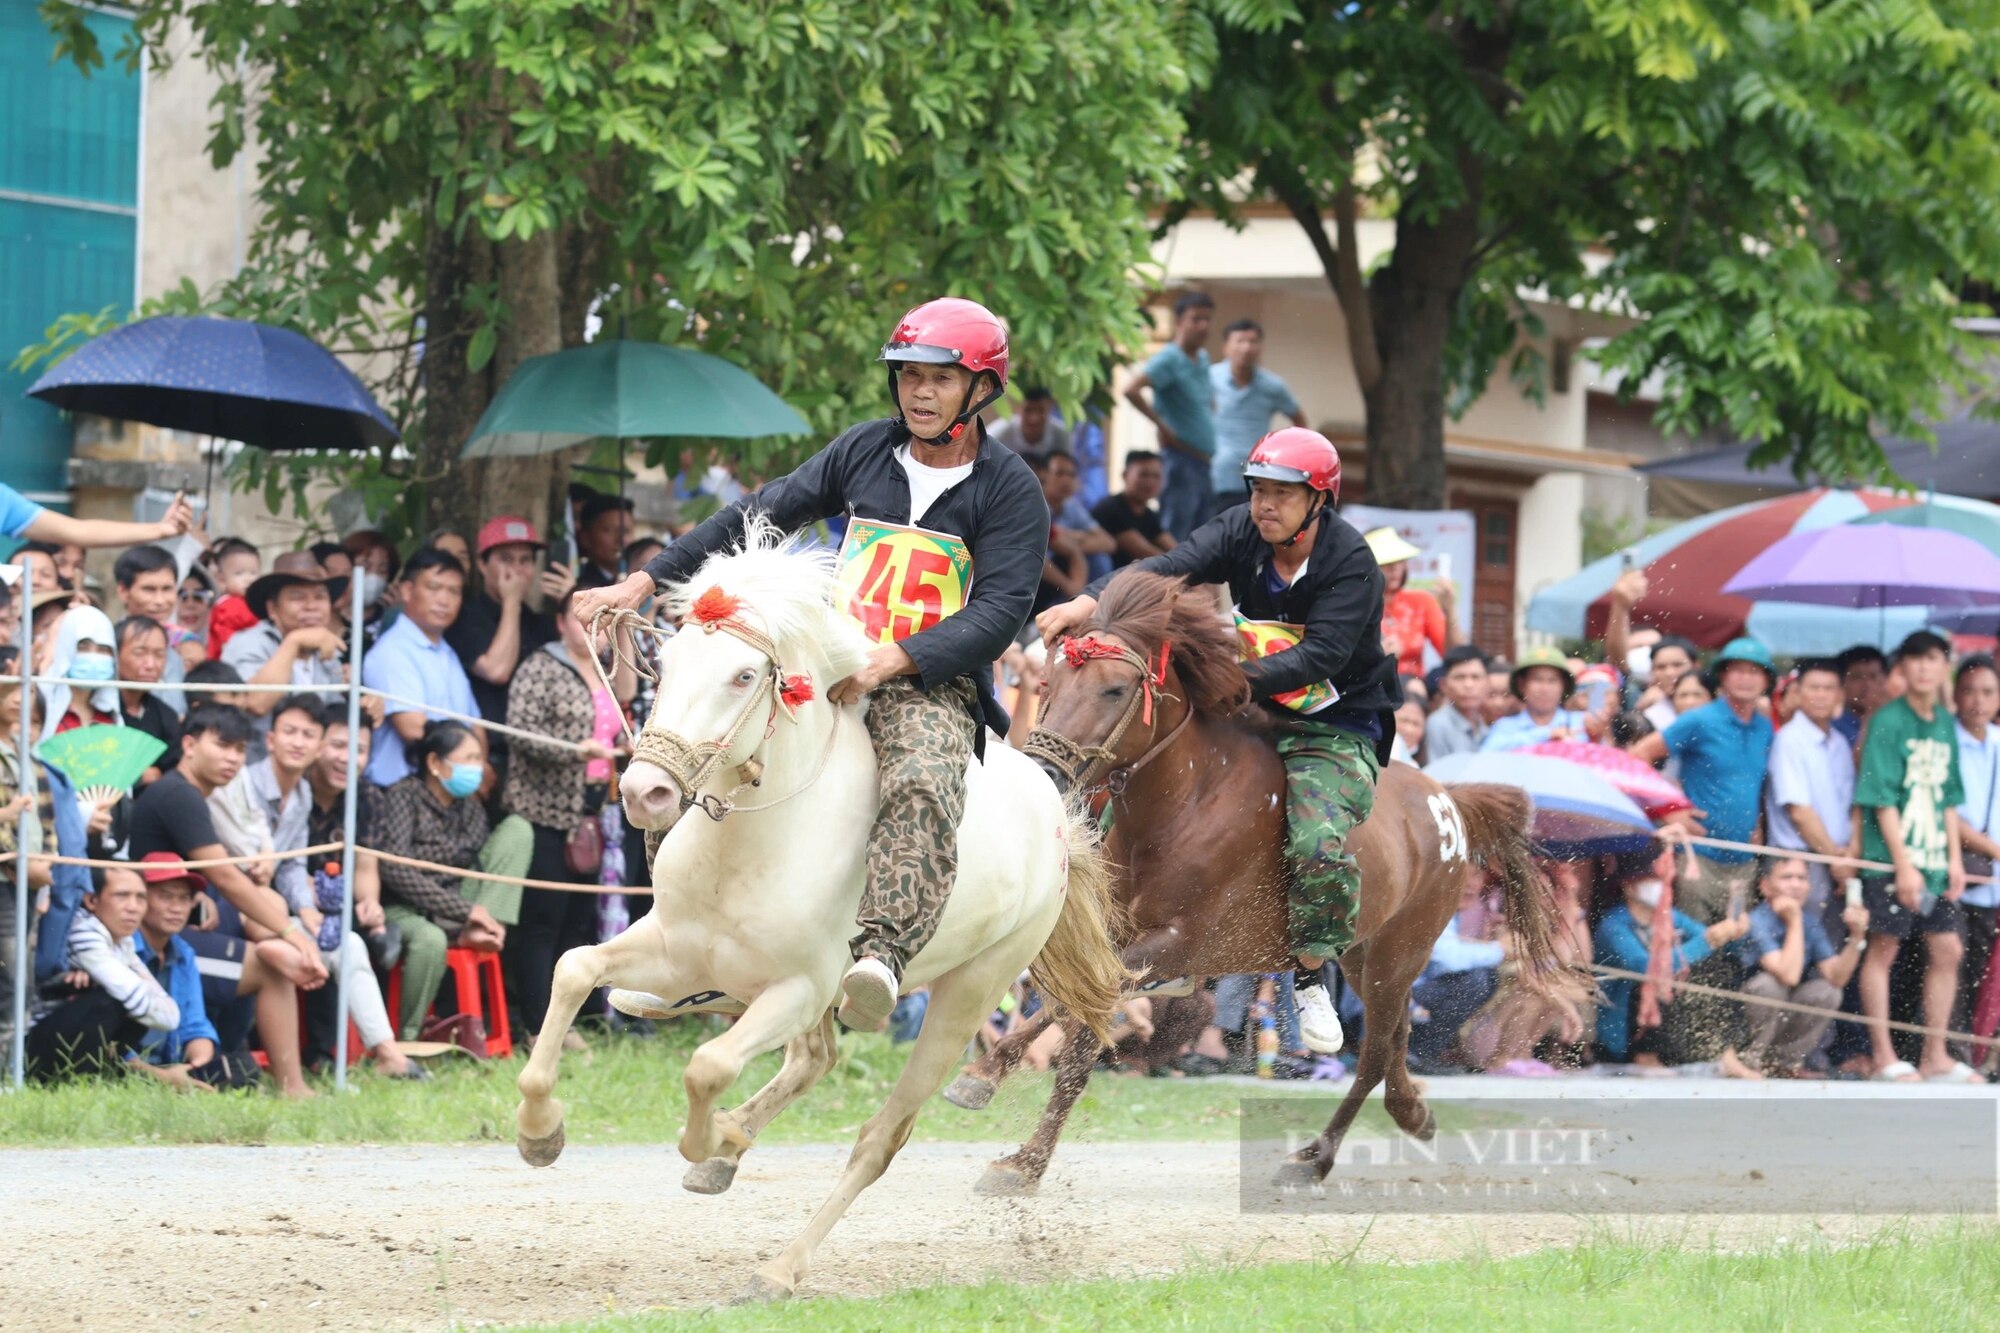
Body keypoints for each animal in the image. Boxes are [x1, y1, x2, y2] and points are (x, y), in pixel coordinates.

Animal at [512, 520, 1128, 1296]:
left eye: (744, 676)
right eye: (668, 660)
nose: (645, 791)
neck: (755, 843)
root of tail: (1057, 810)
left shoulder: (797, 988)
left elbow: (706, 1067)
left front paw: (712, 1134)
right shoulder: (676, 950)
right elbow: (572, 969)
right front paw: (540, 1132)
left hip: (965, 996)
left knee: (879, 1136)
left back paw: (779, 1264)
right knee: (816, 1058)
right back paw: (727, 1158)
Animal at [944, 568, 1568, 1184]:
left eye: (1115, 690)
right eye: (1047, 684)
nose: (1042, 772)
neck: (1187, 802)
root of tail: (1447, 800)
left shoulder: (1177, 944)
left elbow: (1079, 1033)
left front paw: (1025, 1161)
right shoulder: (1117, 935)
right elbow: (1061, 1001)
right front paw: (982, 1074)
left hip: (1401, 949)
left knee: (1374, 1050)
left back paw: (1316, 1155)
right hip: (1365, 953)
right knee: (1395, 1037)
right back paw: (1410, 1111)